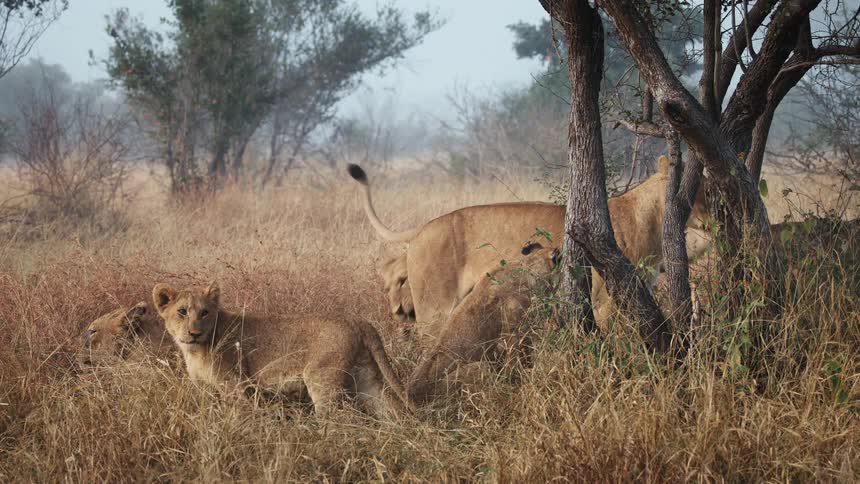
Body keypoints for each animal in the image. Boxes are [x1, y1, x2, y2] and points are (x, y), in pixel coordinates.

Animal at [152, 282, 412, 419]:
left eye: (205, 312)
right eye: (182, 312)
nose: (194, 333)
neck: (195, 350)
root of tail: (358, 321)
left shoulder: (235, 385)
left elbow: (239, 415)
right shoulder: (205, 389)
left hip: (322, 379)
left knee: (338, 419)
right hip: (365, 376)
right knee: (389, 404)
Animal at [349, 157, 709, 342]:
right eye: (700, 190)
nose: (717, 211)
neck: (652, 217)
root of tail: (426, 227)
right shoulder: (604, 301)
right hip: (436, 308)